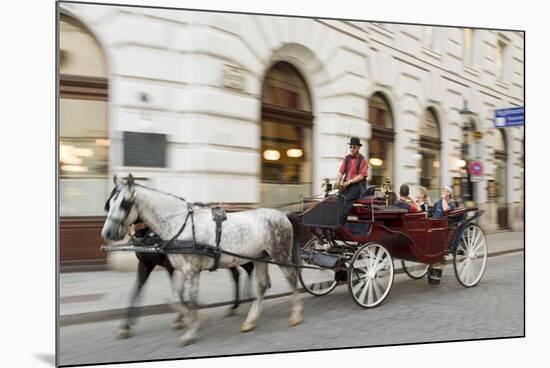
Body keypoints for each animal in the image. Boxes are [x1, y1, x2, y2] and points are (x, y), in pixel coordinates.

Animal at [101, 175, 304, 344]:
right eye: (109, 203)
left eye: (124, 203)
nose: (107, 233)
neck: (179, 224)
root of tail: (283, 214)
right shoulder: (180, 269)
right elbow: (176, 298)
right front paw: (193, 321)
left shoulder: (190, 269)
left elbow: (190, 299)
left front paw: (190, 331)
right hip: (260, 257)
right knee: (261, 285)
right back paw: (250, 320)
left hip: (280, 255)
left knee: (292, 279)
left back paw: (295, 316)